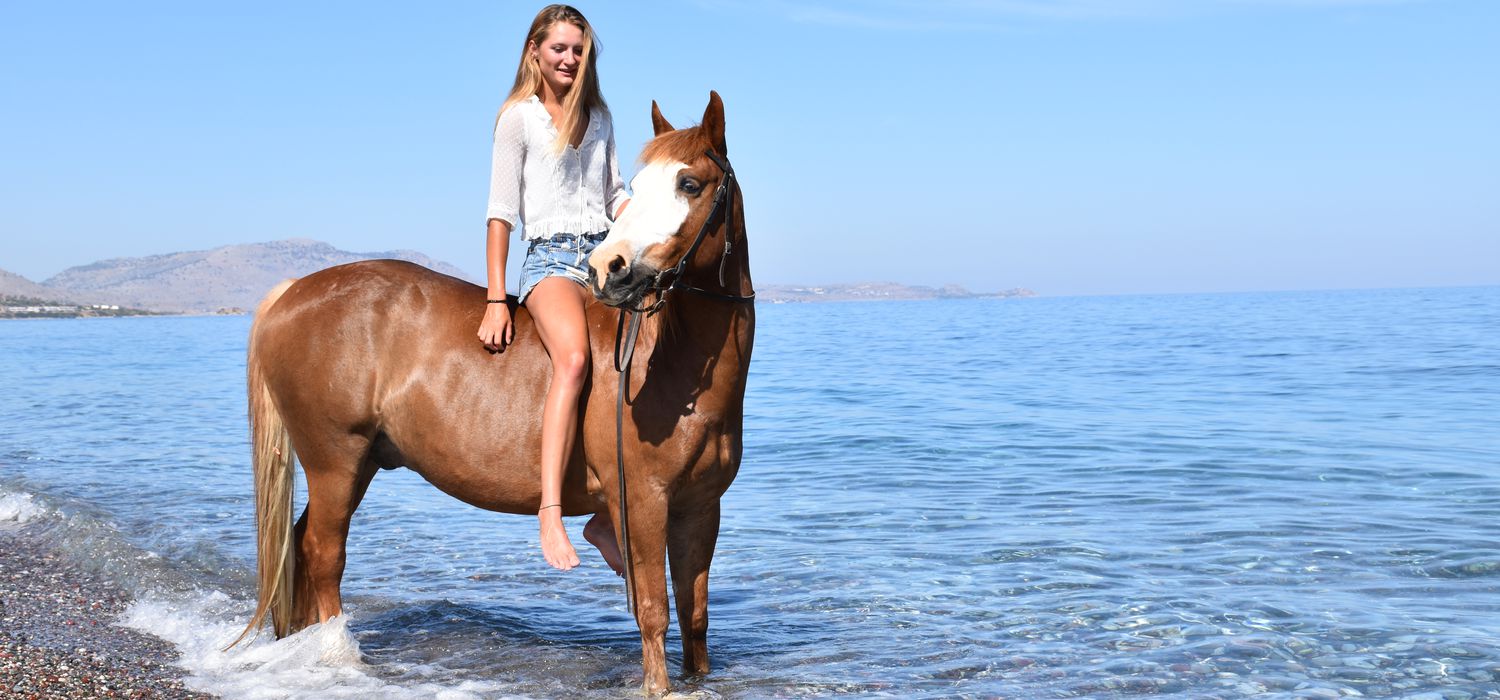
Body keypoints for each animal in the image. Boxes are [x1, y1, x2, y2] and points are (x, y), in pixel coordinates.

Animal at [240, 93, 756, 695]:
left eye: (689, 184)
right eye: (644, 183)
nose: (610, 268)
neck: (669, 361)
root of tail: (291, 292)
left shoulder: (700, 509)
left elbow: (695, 617)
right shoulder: (645, 502)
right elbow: (655, 612)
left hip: (359, 463)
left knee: (298, 550)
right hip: (334, 462)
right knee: (323, 555)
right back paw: (340, 658)